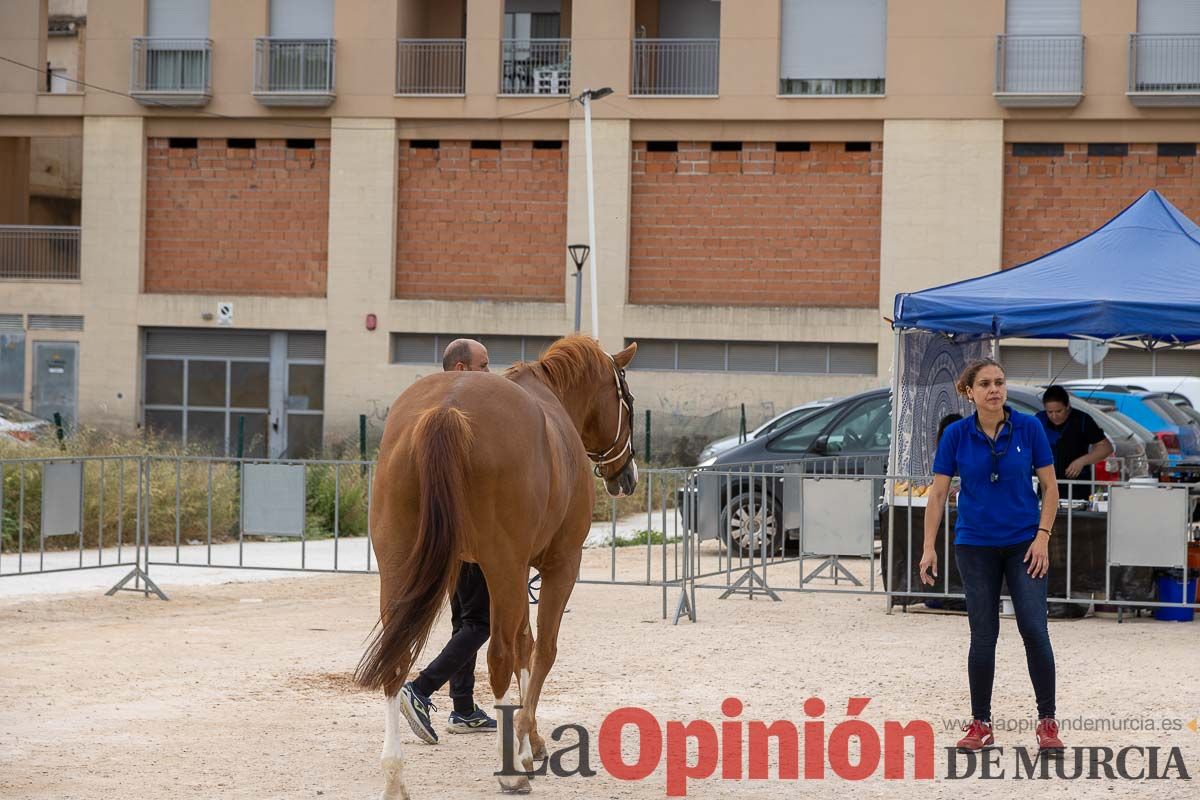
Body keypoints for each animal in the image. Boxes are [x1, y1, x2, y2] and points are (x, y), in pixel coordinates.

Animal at [352, 335, 638, 796]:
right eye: (627, 399)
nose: (626, 476)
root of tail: (448, 408)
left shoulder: (514, 571)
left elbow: (525, 645)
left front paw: (528, 740)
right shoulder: (558, 565)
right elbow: (540, 649)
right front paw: (524, 745)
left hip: (399, 563)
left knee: (396, 659)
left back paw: (394, 776)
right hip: (502, 566)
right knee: (499, 655)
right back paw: (510, 773)